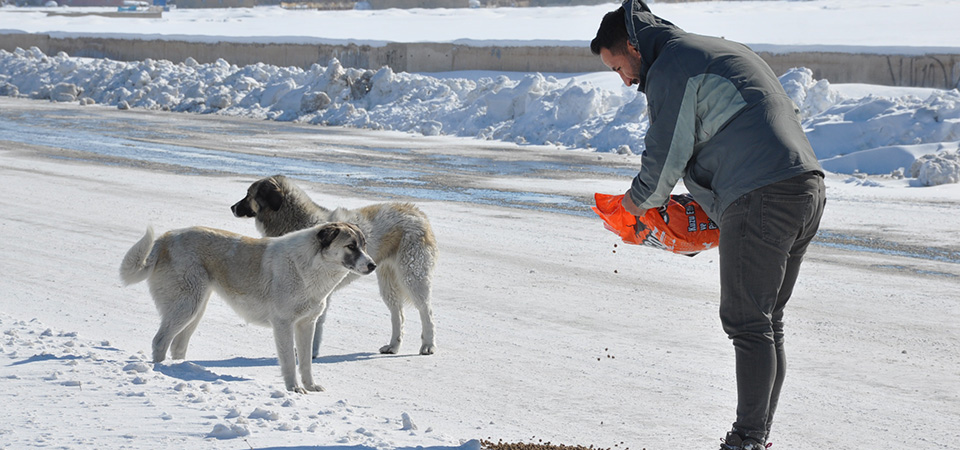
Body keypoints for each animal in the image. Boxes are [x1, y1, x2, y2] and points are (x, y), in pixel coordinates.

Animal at [119, 223, 376, 392]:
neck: (313, 266)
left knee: (177, 345)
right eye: (351, 246)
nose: (373, 265)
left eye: (364, 245)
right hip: (186, 306)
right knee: (160, 341)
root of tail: (164, 238)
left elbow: (305, 362)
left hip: (196, 308)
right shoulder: (283, 324)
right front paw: (293, 389)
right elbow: (289, 361)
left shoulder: (306, 325)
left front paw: (310, 386)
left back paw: (181, 369)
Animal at [229, 174, 438, 356]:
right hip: (388, 281)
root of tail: (417, 211)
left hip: (412, 275)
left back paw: (428, 345)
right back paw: (393, 346)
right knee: (398, 314)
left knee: (426, 311)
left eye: (248, 194)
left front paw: (310, 352)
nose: (232, 207)